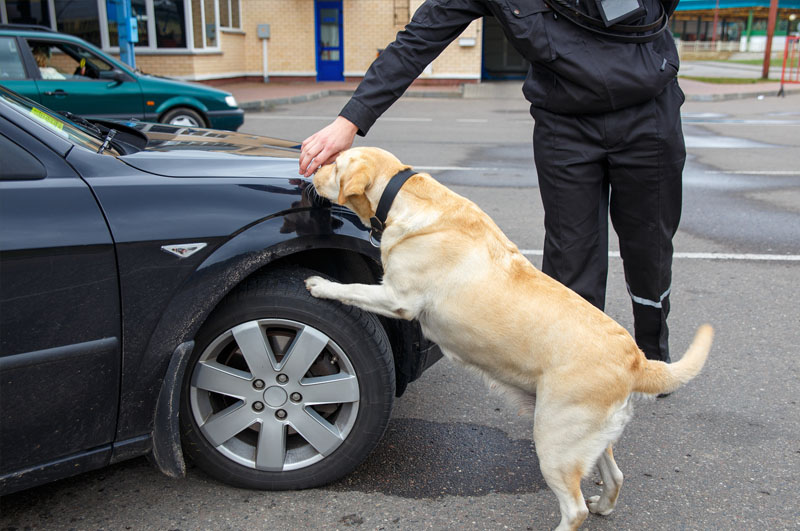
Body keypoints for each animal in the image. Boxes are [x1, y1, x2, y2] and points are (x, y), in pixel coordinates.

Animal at [304, 147, 712, 531]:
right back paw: (604, 506)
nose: (309, 169)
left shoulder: (397, 298)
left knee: (575, 509)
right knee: (615, 476)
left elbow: (353, 289)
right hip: (588, 438)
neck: (405, 195)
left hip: (554, 440)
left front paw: (322, 285)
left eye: (335, 163)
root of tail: (636, 359)